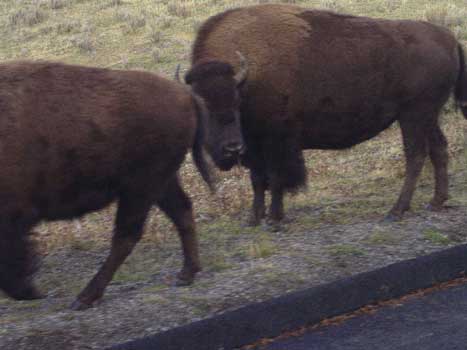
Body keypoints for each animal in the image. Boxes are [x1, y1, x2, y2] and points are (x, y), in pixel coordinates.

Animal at [0, 59, 247, 308]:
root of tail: (187, 95)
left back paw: (85, 297)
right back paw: (186, 274)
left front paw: (28, 291)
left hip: (141, 187)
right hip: (160, 184)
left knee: (127, 235)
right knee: (181, 211)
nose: (32, 292)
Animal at [187, 4, 467, 226]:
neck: (247, 79)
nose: (231, 148)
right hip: (428, 115)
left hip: (413, 115)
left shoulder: (276, 142)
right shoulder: (254, 147)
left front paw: (275, 219)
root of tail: (449, 38)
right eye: (202, 108)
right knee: (439, 148)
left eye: (235, 102)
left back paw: (396, 210)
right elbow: (257, 180)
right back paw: (436, 202)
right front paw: (254, 219)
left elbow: (276, 179)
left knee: (416, 155)